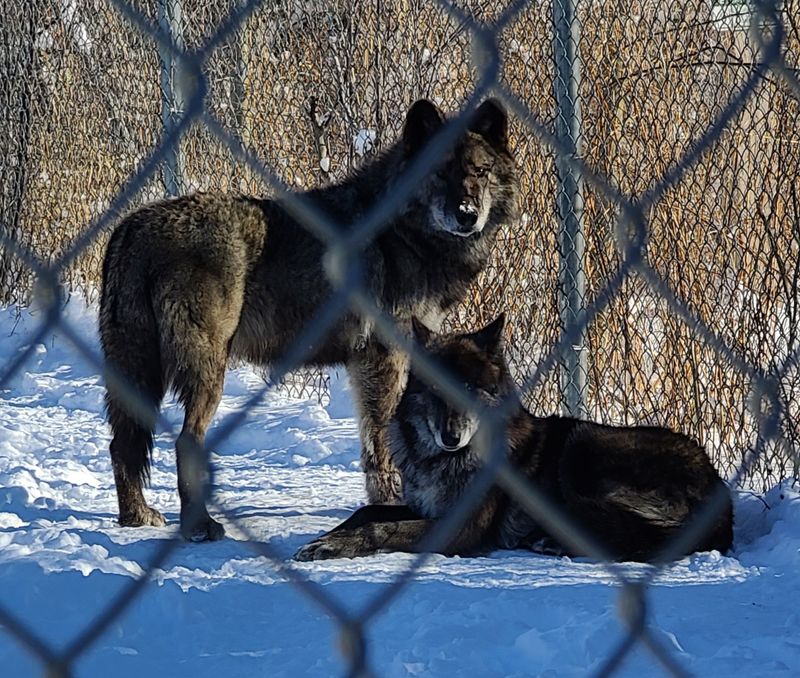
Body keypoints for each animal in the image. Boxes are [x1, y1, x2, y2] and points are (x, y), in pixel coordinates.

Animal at [99, 98, 518, 541]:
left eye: (480, 171)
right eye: (439, 171)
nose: (467, 215)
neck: (404, 232)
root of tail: (132, 227)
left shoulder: (368, 364)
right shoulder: (385, 357)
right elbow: (384, 440)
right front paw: (393, 502)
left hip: (139, 373)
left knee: (121, 444)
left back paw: (135, 515)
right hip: (206, 371)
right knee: (184, 442)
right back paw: (199, 525)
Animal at [295, 315, 734, 563]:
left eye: (470, 388)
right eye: (436, 390)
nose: (451, 436)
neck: (442, 461)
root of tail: (721, 495)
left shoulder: (459, 528)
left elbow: (381, 529)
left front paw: (331, 547)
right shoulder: (424, 505)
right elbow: (366, 512)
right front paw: (328, 537)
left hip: (582, 444)